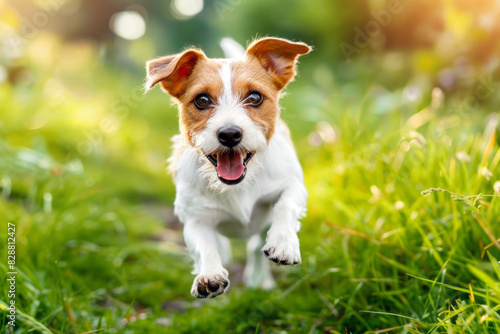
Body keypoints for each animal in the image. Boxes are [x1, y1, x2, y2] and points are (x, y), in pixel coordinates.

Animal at [144, 37, 308, 298]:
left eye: (255, 97)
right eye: (202, 100)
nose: (229, 134)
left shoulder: (294, 185)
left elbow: (286, 205)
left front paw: (283, 243)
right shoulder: (194, 220)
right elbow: (204, 246)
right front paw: (209, 275)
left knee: (255, 244)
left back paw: (259, 278)